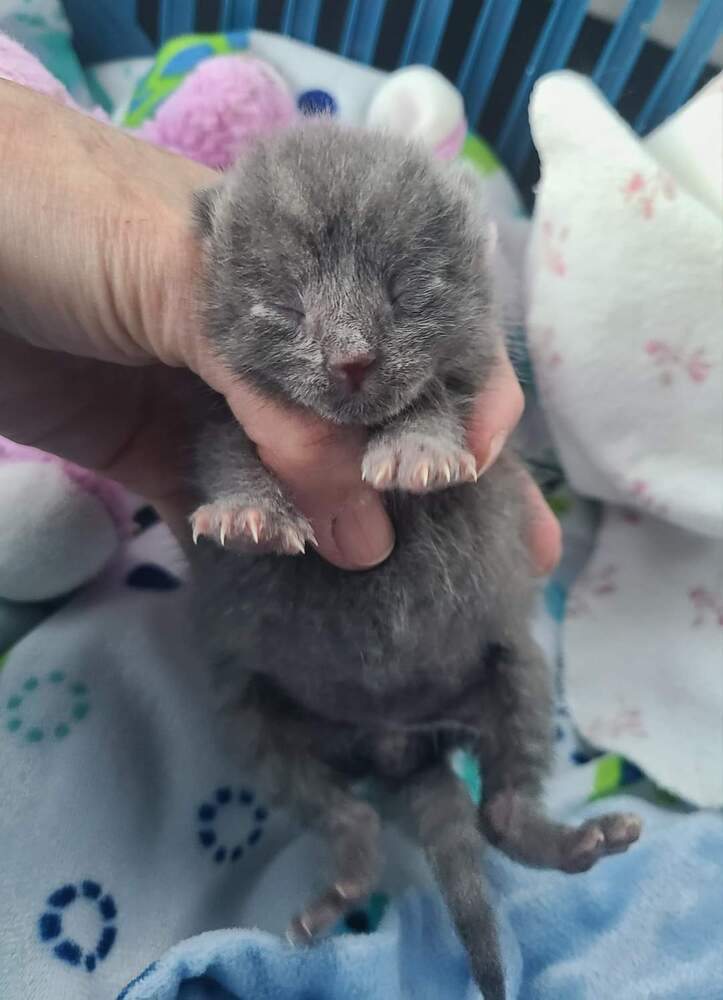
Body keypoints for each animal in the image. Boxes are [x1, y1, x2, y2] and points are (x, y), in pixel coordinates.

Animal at [188, 125, 644, 1000]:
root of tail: (400, 743)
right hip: (258, 716)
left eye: (405, 294)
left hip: (517, 667)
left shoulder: (478, 397)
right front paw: (248, 510)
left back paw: (576, 840)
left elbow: (435, 397)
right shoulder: (209, 406)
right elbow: (226, 444)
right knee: (347, 813)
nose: (351, 360)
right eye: (285, 304)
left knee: (500, 811)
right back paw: (342, 886)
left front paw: (415, 449)